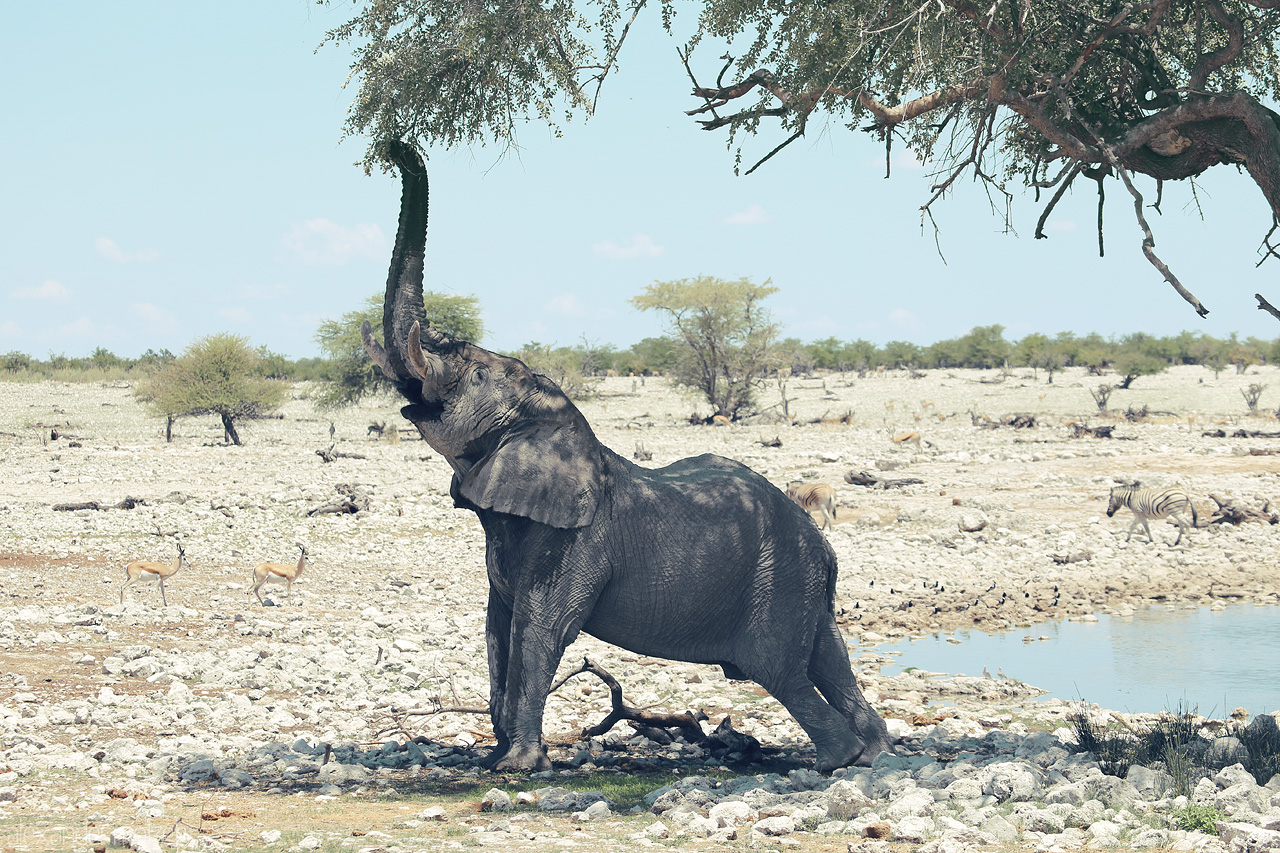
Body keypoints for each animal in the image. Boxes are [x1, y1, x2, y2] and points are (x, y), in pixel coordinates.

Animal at [361, 140, 894, 773]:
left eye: (477, 373)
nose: (394, 145)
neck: (556, 420)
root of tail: (825, 547)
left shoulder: (576, 540)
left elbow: (539, 630)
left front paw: (518, 768)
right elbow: (498, 627)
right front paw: (497, 760)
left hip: (779, 585)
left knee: (782, 671)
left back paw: (835, 760)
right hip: (801, 580)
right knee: (828, 657)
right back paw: (874, 752)